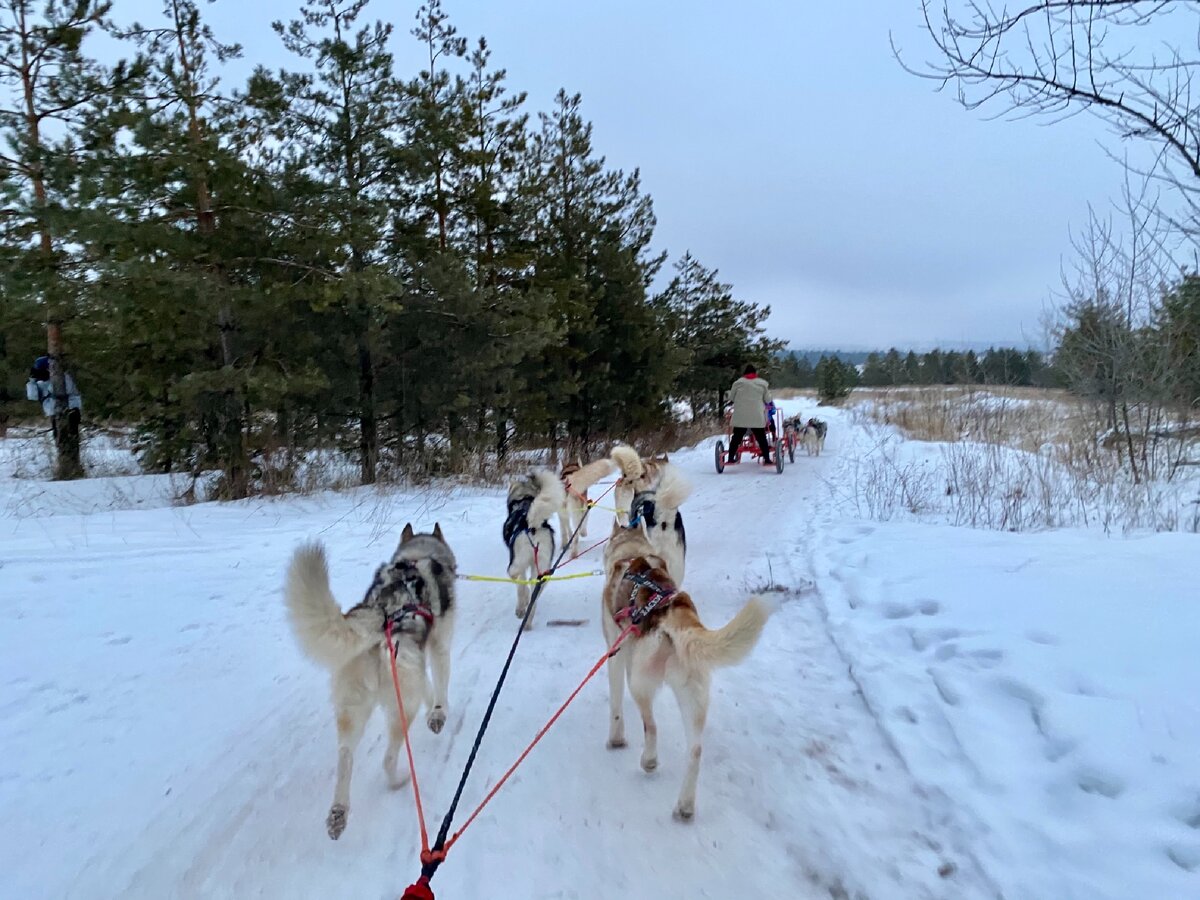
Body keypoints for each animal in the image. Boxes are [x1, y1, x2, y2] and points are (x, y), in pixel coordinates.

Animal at [283, 525, 456, 844]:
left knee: (345, 757)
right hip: (402, 710)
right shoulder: (439, 647)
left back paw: (338, 814)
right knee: (388, 758)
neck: (418, 556)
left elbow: (428, 688)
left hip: (352, 713)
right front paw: (439, 713)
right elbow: (439, 689)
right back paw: (399, 780)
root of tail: (380, 614)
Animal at [504, 472, 564, 628]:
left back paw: (520, 609)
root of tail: (532, 525)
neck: (523, 500)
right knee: (534, 598)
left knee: (516, 576)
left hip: (517, 560)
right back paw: (527, 621)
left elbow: (521, 585)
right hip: (542, 571)